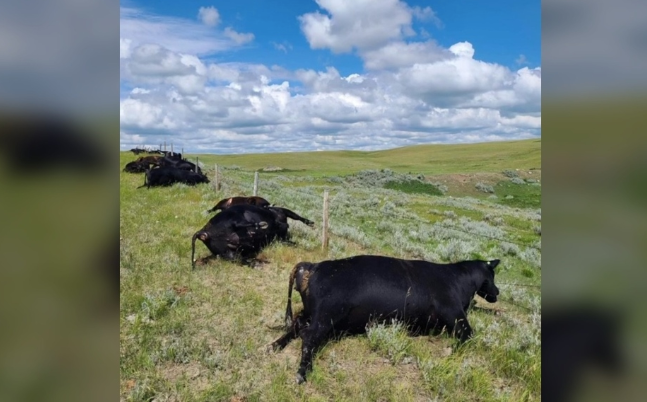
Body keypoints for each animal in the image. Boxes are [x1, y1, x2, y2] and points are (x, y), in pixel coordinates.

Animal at [270, 255, 501, 384]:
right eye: (493, 275)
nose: (497, 291)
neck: (457, 280)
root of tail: (311, 266)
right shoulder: (455, 314)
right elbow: (468, 335)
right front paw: (452, 352)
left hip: (311, 313)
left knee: (296, 324)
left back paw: (275, 345)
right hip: (326, 315)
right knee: (309, 336)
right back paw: (302, 372)